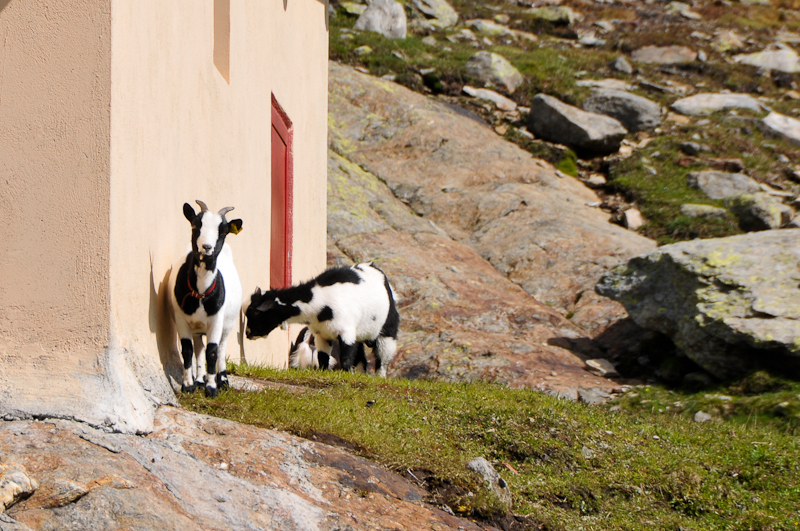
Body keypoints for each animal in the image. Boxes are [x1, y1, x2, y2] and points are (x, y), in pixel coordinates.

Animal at [170, 200, 243, 397]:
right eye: (195, 225)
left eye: (223, 230)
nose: (207, 247)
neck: (200, 293)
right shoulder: (181, 318)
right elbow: (188, 350)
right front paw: (188, 385)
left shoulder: (216, 320)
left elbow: (212, 351)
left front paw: (212, 388)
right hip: (197, 326)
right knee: (198, 348)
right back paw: (200, 380)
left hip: (228, 323)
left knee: (222, 347)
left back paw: (223, 380)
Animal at [246, 263, 399, 376]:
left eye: (256, 314)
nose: (247, 334)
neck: (319, 301)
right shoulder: (322, 334)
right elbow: (323, 356)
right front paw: (324, 373)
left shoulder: (346, 331)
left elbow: (346, 358)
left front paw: (346, 375)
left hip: (387, 329)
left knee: (383, 357)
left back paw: (379, 376)